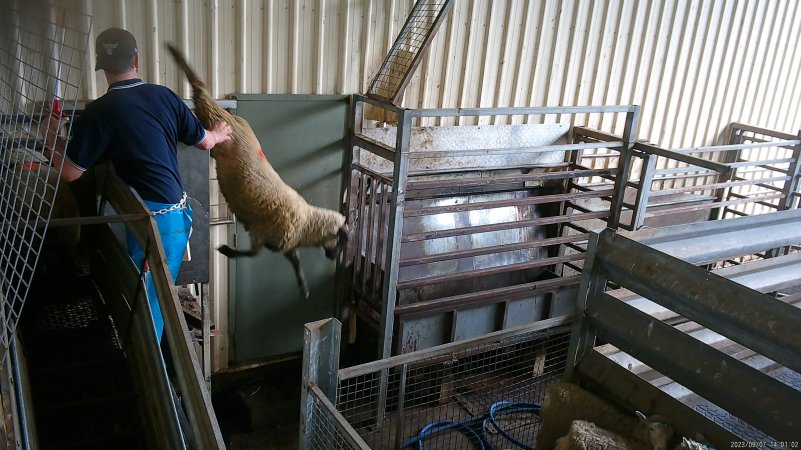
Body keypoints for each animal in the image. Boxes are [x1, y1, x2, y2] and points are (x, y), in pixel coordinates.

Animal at [166, 43, 346, 298]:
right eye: (341, 242)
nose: (333, 258)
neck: (307, 223)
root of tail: (234, 118)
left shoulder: (268, 237)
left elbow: (274, 257)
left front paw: (303, 286)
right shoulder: (268, 234)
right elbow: (262, 255)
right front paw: (226, 250)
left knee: (201, 94)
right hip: (213, 119)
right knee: (201, 92)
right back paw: (176, 54)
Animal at [536, 384, 672, 450]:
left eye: (670, 436)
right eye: (652, 429)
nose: (661, 448)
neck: (633, 428)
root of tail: (554, 389)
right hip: (552, 426)